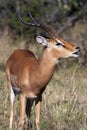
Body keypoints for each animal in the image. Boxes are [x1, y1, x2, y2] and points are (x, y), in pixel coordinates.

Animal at [5, 2, 80, 130]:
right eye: (58, 43)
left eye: (63, 39)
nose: (77, 48)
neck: (34, 73)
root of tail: (15, 52)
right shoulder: (23, 95)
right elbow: (20, 121)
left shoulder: (39, 97)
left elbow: (37, 120)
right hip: (12, 90)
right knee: (11, 113)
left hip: (30, 99)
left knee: (28, 115)